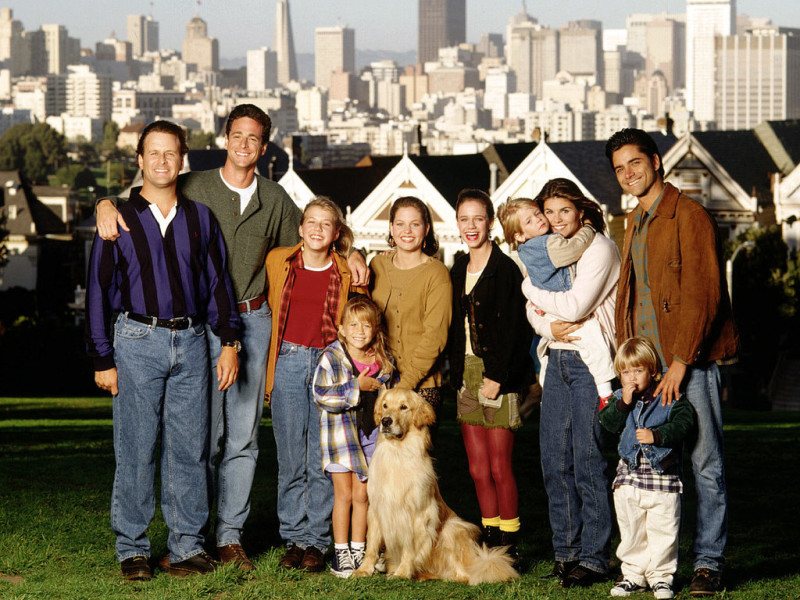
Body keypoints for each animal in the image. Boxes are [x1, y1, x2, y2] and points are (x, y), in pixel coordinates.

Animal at [352, 386, 520, 584]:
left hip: (452, 528)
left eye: (403, 407)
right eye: (385, 406)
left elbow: (409, 547)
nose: (386, 421)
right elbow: (371, 545)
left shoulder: (417, 514)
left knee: (464, 575)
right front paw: (364, 570)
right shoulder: (377, 509)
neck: (397, 452)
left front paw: (403, 572)